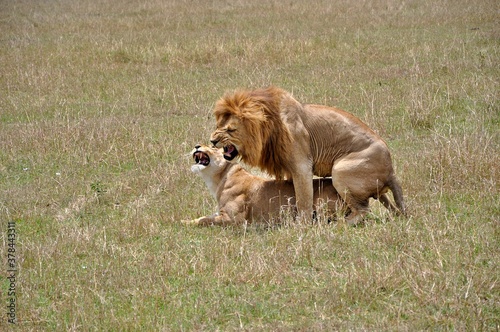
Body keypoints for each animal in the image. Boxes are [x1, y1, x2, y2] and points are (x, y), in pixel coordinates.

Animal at [184, 144, 344, 227]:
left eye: (212, 147)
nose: (196, 146)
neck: (219, 178)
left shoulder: (234, 220)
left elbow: (206, 220)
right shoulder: (220, 213)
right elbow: (202, 217)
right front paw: (184, 221)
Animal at [209, 86, 404, 226]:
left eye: (231, 130)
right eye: (218, 126)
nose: (212, 141)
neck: (268, 128)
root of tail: (391, 170)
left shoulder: (302, 165)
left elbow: (303, 198)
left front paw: (301, 225)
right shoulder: (289, 169)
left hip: (340, 170)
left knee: (363, 209)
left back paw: (337, 224)